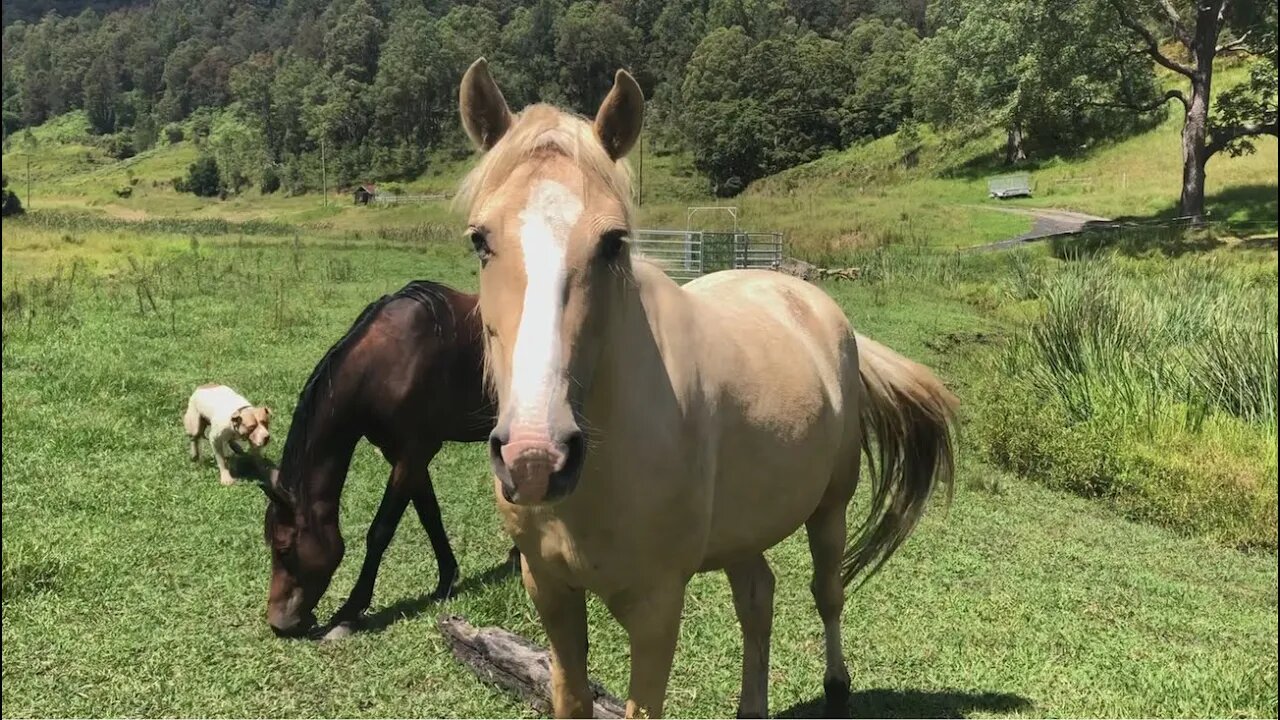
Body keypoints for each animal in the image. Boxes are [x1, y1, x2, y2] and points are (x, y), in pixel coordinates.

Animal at [247, 278, 506, 635]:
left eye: (284, 548)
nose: (279, 624)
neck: (388, 363)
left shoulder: (415, 452)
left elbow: (381, 530)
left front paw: (349, 611)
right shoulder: (404, 454)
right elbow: (430, 515)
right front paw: (446, 581)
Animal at [455, 58, 957, 712]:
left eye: (613, 242)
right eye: (480, 240)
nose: (536, 457)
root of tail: (816, 304)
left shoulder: (657, 606)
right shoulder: (550, 591)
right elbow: (572, 696)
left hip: (830, 509)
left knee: (827, 592)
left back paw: (837, 685)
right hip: (745, 530)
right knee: (758, 598)